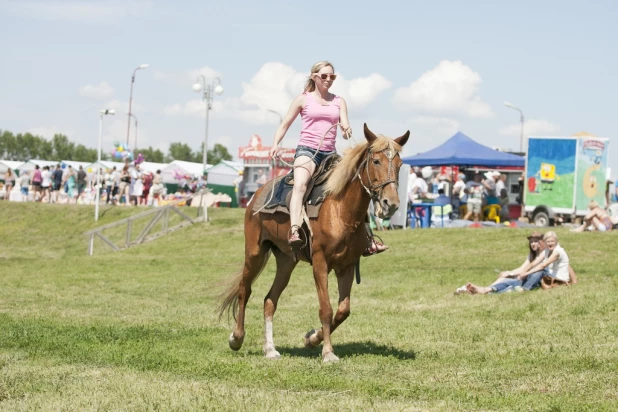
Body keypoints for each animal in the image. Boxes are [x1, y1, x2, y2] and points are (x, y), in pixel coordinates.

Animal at [219, 124, 406, 362]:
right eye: (376, 161)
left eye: (400, 164)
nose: (391, 203)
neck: (340, 209)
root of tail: (256, 194)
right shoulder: (320, 263)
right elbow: (326, 309)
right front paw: (328, 353)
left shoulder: (346, 266)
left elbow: (343, 310)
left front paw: (312, 338)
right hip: (254, 252)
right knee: (245, 290)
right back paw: (236, 338)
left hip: (286, 261)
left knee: (269, 300)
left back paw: (270, 349)